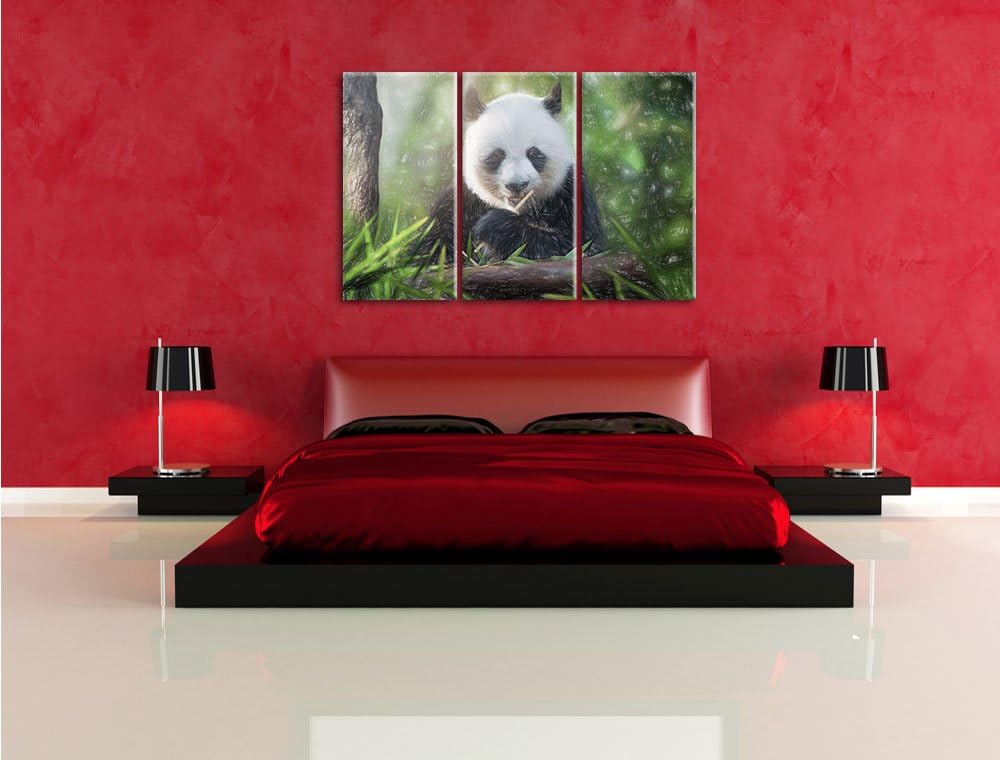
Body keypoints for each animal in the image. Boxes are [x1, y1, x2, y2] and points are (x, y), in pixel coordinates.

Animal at [414, 81, 605, 264]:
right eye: (497, 155)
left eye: (534, 154)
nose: (516, 185)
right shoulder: (461, 199)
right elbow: (429, 248)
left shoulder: (570, 191)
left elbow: (581, 244)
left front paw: (493, 225)